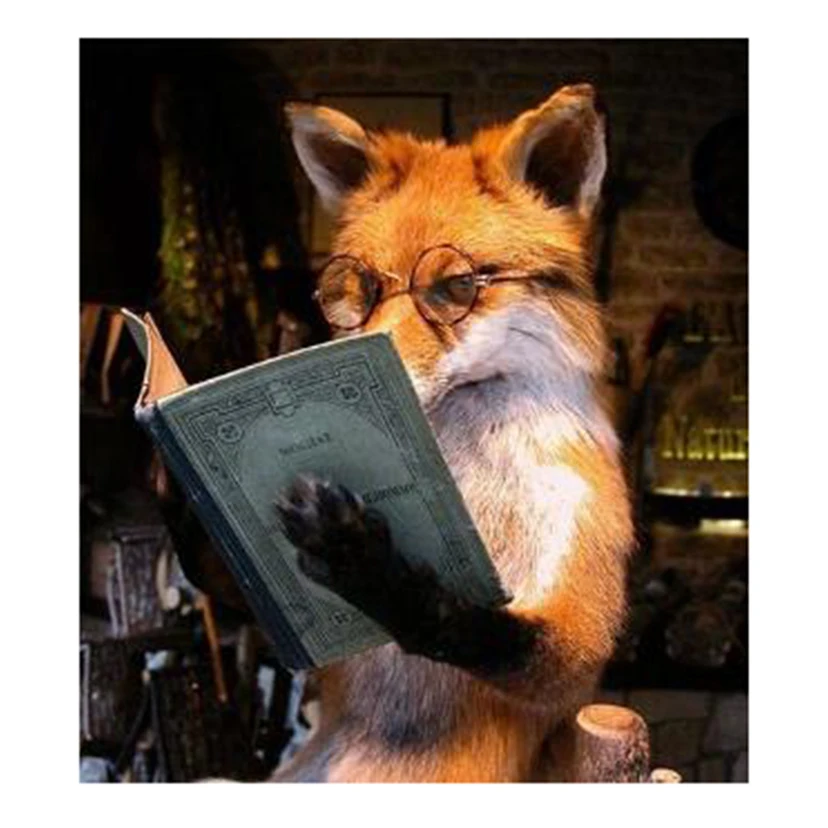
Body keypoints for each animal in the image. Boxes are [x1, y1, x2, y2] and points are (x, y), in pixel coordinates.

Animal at [270, 84, 634, 782]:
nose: (363, 370)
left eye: (454, 286)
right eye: (359, 290)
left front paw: (365, 565)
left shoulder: (582, 634)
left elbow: (471, 625)